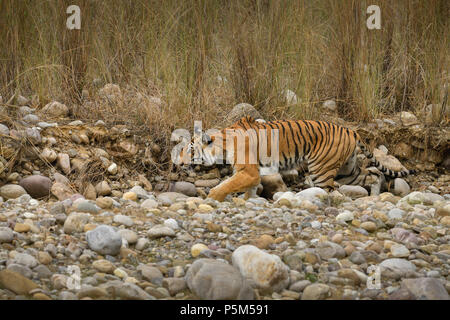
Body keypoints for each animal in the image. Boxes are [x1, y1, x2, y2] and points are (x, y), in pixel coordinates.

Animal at [176, 116, 414, 201]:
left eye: (189, 149)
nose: (177, 162)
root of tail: (351, 130)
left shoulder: (248, 171)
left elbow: (226, 185)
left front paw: (212, 197)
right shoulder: (248, 174)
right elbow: (246, 189)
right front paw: (245, 201)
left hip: (321, 170)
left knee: (331, 191)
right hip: (348, 171)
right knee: (373, 175)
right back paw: (373, 198)